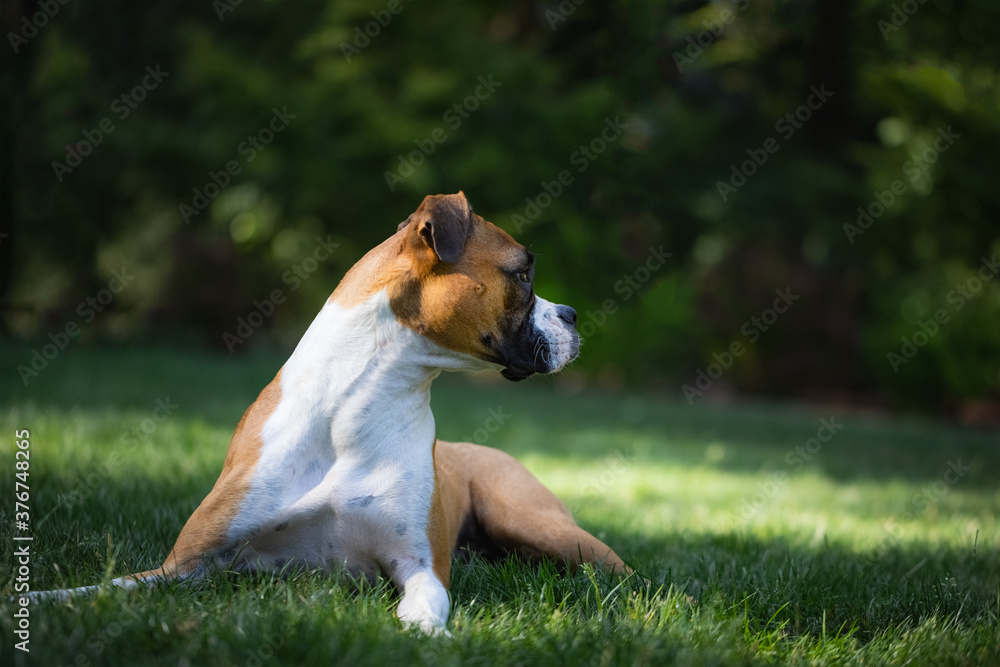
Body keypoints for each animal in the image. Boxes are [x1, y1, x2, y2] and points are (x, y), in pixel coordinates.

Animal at [29, 190, 624, 636]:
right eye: (522, 274)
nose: (572, 315)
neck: (351, 412)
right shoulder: (186, 567)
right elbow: (107, 588)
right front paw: (40, 598)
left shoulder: (419, 568)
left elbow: (426, 607)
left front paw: (425, 635)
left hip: (541, 527)